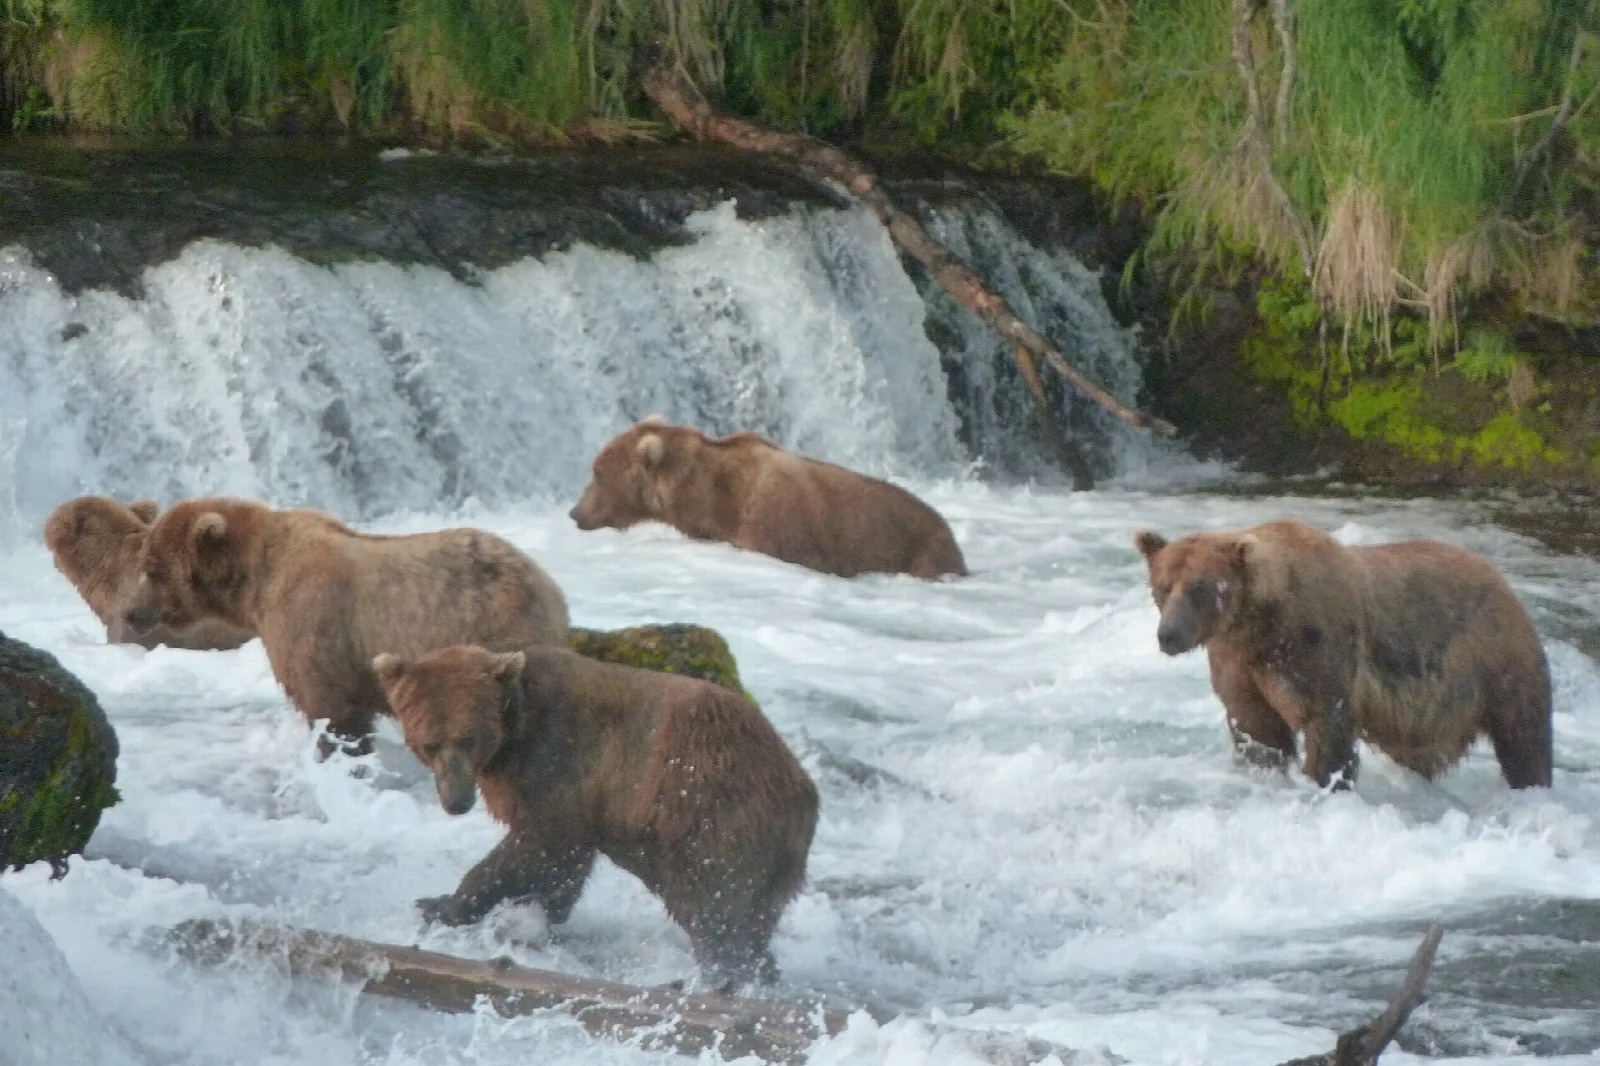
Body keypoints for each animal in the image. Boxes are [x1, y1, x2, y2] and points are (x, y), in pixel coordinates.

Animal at [121, 497, 570, 755]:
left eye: (152, 568)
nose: (131, 611)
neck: (255, 582)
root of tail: (549, 586)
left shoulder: (313, 623)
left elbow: (331, 709)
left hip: (495, 629)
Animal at [370, 642, 819, 988]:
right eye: (428, 743)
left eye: (468, 738)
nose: (456, 801)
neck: (514, 733)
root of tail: (804, 789)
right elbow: (563, 865)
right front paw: (531, 919)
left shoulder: (558, 762)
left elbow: (543, 843)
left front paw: (442, 903)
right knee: (746, 919)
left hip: (713, 813)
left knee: (718, 908)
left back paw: (725, 976)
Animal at [1133, 519, 1552, 791]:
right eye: (1163, 586)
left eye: (1200, 588)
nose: (1168, 635)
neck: (1259, 622)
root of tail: (1502, 580)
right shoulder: (1237, 661)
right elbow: (1256, 725)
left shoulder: (1316, 644)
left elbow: (1326, 720)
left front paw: (1324, 779)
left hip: (1495, 657)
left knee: (1523, 734)